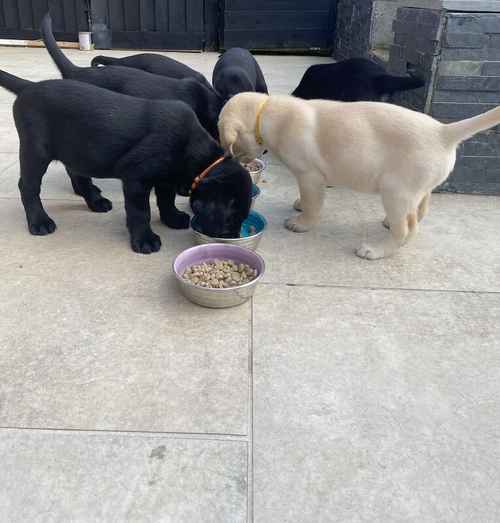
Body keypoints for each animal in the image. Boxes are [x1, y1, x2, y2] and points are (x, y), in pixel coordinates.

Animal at [0, 72, 250, 256]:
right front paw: (145, 240)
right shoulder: (136, 178)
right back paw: (40, 222)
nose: (233, 239)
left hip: (76, 148)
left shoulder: (165, 178)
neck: (193, 150)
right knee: (28, 187)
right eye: (231, 219)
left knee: (77, 174)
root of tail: (29, 87)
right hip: (36, 150)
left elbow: (166, 199)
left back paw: (96, 201)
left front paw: (172, 218)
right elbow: (140, 211)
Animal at [220, 93, 500, 260]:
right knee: (419, 211)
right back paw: (389, 224)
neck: (265, 111)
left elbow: (313, 202)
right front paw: (299, 204)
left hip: (395, 191)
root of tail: (443, 131)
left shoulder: (309, 175)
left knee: (406, 229)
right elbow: (307, 198)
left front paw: (302, 222)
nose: (233, 160)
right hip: (417, 189)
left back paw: (376, 250)